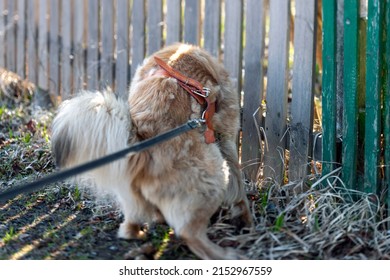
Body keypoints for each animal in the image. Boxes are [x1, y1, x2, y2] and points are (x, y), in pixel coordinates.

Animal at [51, 42, 253, 260]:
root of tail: (143, 147)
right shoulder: (226, 137)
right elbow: (238, 188)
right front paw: (246, 221)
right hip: (215, 173)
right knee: (190, 233)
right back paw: (225, 254)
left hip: (130, 190)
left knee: (132, 219)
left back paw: (137, 232)